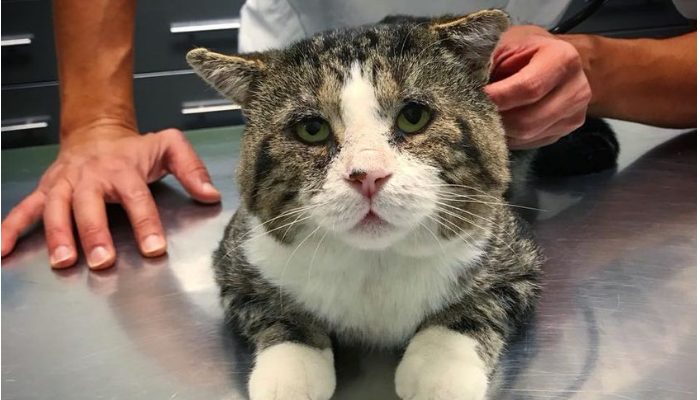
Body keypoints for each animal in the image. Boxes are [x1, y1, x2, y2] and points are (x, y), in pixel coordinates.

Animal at [186, 9, 540, 400]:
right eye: (311, 129)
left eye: (413, 116)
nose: (368, 175)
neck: (375, 261)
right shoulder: (234, 263)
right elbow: (274, 308)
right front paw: (292, 368)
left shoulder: (516, 258)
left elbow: (477, 305)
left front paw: (440, 365)